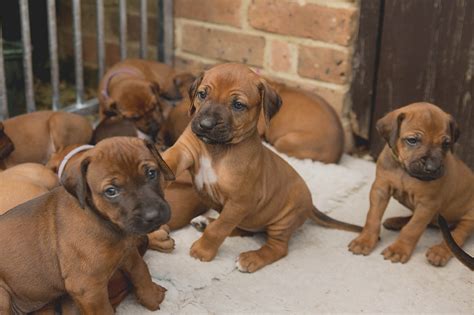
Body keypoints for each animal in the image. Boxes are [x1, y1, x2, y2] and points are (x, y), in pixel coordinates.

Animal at [0, 138, 175, 314]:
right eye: (111, 191)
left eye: (151, 173)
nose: (153, 215)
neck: (104, 221)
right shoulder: (89, 288)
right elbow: (105, 309)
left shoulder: (128, 252)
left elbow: (141, 271)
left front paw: (152, 296)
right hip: (3, 296)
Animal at [161, 63, 362, 274]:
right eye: (202, 94)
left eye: (238, 105)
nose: (205, 125)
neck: (216, 149)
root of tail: (310, 203)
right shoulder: (185, 150)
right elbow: (170, 160)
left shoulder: (239, 202)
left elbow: (220, 229)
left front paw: (202, 251)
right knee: (244, 229)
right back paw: (205, 221)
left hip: (283, 219)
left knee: (277, 247)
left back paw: (251, 258)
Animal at [348, 103, 474, 266]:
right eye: (412, 140)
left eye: (446, 144)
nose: (432, 168)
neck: (404, 171)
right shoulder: (380, 189)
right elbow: (372, 217)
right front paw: (364, 240)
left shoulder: (427, 204)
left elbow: (413, 228)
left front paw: (399, 249)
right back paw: (396, 221)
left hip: (468, 218)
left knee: (457, 237)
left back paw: (439, 251)